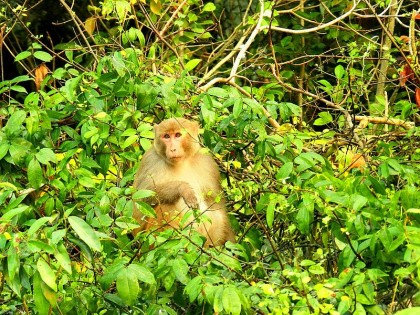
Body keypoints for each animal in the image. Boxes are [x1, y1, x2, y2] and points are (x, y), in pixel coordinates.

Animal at [132, 118, 235, 247]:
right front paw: (183, 188)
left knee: (218, 217)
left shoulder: (207, 162)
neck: (181, 162)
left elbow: (217, 205)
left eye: (178, 135)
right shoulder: (150, 160)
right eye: (166, 136)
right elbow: (139, 202)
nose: (172, 149)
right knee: (166, 206)